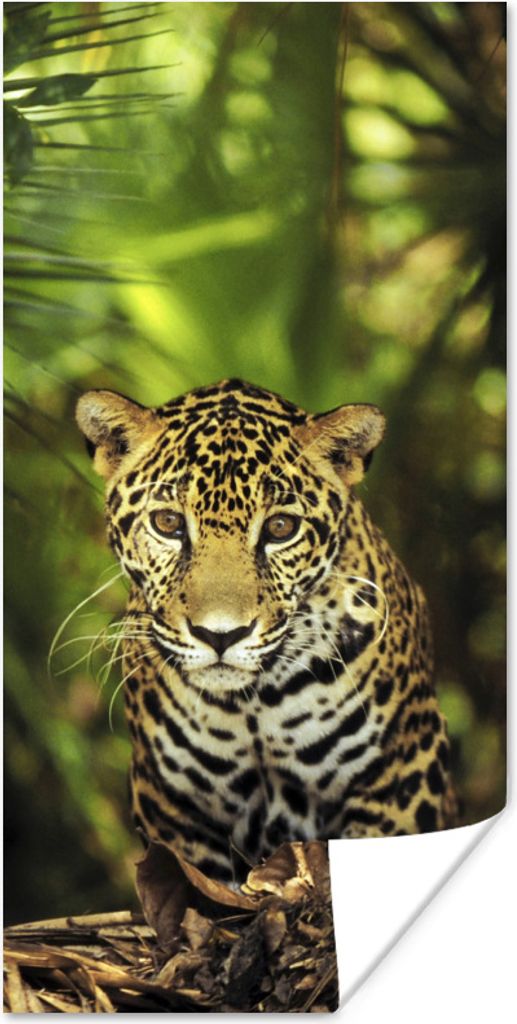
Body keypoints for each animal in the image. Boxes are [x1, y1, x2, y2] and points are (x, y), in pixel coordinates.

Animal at [76, 378, 457, 882]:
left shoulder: (402, 781)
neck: (254, 706)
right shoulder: (176, 812)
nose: (220, 635)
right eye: (168, 522)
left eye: (280, 527)